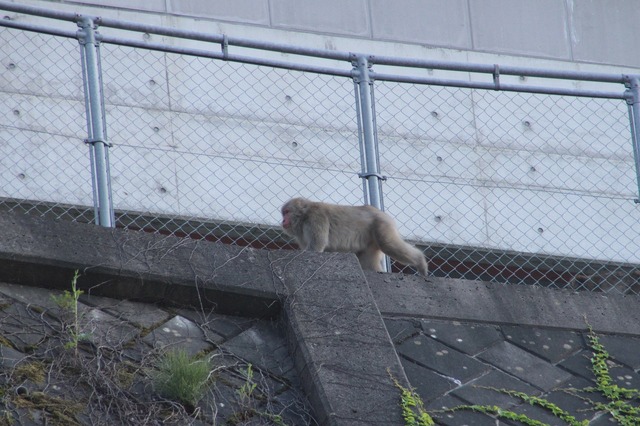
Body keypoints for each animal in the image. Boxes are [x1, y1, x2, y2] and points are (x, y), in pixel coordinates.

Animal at [282, 197, 428, 274]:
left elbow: (317, 246)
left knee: (388, 245)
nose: (283, 221)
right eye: (283, 213)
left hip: (382, 224)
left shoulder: (316, 218)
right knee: (369, 261)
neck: (304, 217)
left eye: (287, 212)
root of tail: (379, 212)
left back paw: (420, 262)